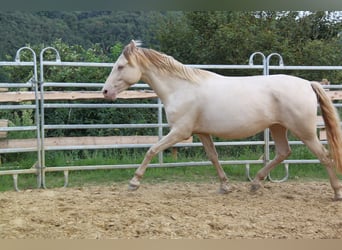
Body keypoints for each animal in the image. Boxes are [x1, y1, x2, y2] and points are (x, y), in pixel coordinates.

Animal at [101, 40, 342, 200]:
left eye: (121, 66)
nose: (105, 92)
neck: (181, 88)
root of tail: (308, 84)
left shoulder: (180, 131)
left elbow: (151, 150)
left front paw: (134, 182)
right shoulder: (201, 132)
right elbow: (213, 157)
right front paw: (225, 186)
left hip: (304, 131)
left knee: (325, 156)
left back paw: (336, 192)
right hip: (277, 127)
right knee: (284, 152)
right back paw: (255, 183)